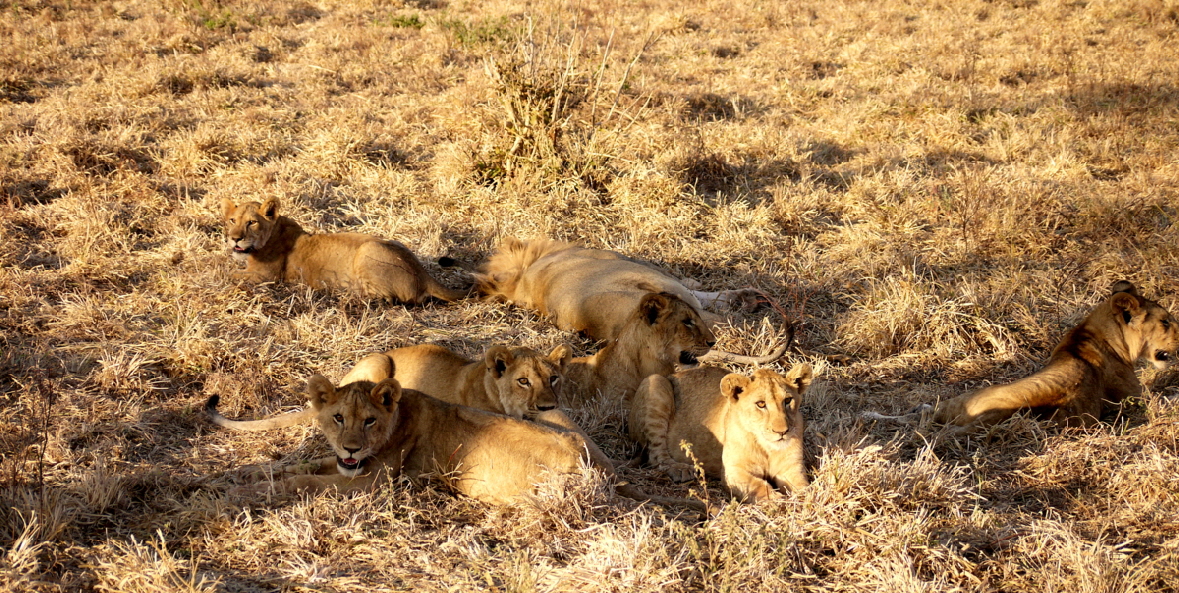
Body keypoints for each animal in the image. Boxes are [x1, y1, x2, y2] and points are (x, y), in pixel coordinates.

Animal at [205, 353, 697, 511]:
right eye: (338, 418)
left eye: (369, 421)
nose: (351, 445)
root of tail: (603, 469)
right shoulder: (347, 465)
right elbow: (302, 464)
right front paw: (243, 477)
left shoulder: (371, 484)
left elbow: (305, 481)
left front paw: (249, 493)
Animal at [221, 196, 464, 304]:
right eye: (232, 220)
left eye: (252, 222)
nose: (234, 238)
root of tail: (423, 273)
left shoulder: (266, 276)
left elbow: (229, 274)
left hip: (368, 249)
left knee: (385, 298)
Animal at [627, 365, 811, 504]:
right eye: (761, 404)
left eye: (787, 401)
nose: (782, 431)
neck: (767, 448)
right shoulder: (734, 471)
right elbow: (758, 486)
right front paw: (778, 502)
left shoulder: (792, 469)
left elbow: (804, 487)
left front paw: (806, 501)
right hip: (656, 383)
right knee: (656, 456)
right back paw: (680, 469)